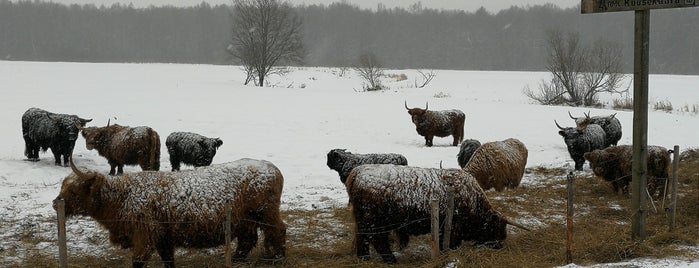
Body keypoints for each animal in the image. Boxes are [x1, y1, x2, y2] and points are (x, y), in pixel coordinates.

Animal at [55, 158, 288, 266]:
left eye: (73, 190)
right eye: (63, 186)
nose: (55, 202)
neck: (123, 198)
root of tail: (272, 167)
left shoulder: (145, 235)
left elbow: (138, 262)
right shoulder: (163, 237)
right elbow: (168, 261)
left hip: (266, 214)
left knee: (278, 231)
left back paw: (278, 259)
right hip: (245, 220)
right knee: (248, 240)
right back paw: (237, 260)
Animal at [348, 164, 528, 262]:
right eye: (496, 230)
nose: (499, 246)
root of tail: (357, 173)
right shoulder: (453, 229)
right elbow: (449, 245)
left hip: (367, 221)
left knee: (364, 239)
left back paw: (364, 258)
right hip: (375, 222)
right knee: (377, 240)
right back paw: (390, 260)